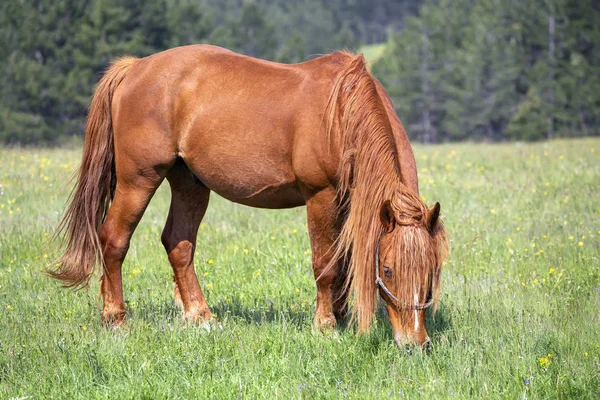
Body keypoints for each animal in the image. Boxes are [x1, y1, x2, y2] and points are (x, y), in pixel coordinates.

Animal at [50, 45, 446, 348]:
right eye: (388, 269)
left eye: (432, 269)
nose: (415, 344)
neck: (342, 113)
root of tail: (135, 68)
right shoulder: (322, 197)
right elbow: (326, 265)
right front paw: (326, 326)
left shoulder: (352, 205)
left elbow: (345, 262)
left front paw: (342, 316)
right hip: (139, 180)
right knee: (114, 240)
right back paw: (116, 319)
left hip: (190, 183)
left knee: (178, 244)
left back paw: (200, 317)